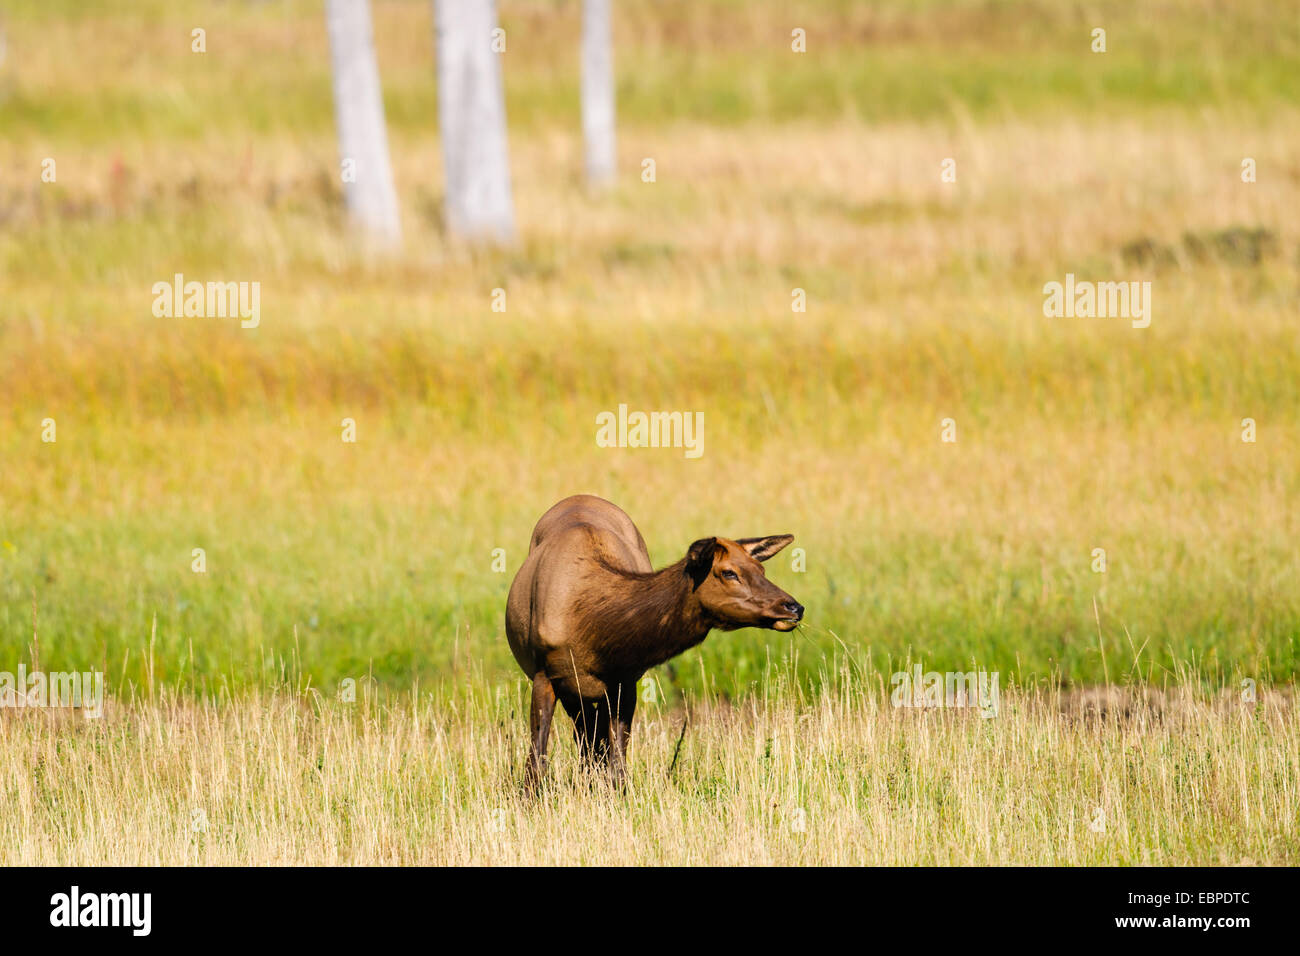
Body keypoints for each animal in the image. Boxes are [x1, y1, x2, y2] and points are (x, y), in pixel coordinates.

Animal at [504, 496, 800, 790]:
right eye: (728, 572)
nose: (794, 607)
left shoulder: (625, 678)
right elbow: (537, 761)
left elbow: (617, 765)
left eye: (761, 568)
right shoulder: (545, 673)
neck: (592, 635)